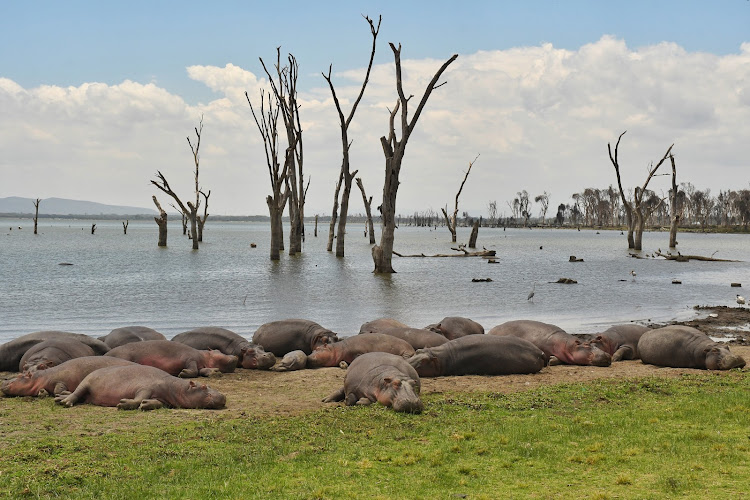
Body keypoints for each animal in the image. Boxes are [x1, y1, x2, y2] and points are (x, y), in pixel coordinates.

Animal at [1, 356, 135, 398]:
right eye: (21, 372)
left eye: (19, 376)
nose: (3, 381)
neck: (40, 377)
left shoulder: (60, 381)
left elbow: (58, 389)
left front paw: (67, 392)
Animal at [53, 364, 226, 410]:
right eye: (203, 386)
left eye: (210, 385)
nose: (223, 396)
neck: (177, 387)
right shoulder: (145, 388)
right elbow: (138, 398)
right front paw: (123, 403)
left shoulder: (164, 399)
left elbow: (157, 403)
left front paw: (145, 405)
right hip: (86, 383)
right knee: (76, 394)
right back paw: (65, 402)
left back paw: (59, 399)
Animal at [105, 340, 238, 378]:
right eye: (219, 351)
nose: (235, 356)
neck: (204, 356)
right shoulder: (190, 358)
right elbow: (193, 369)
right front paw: (182, 373)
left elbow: (200, 370)